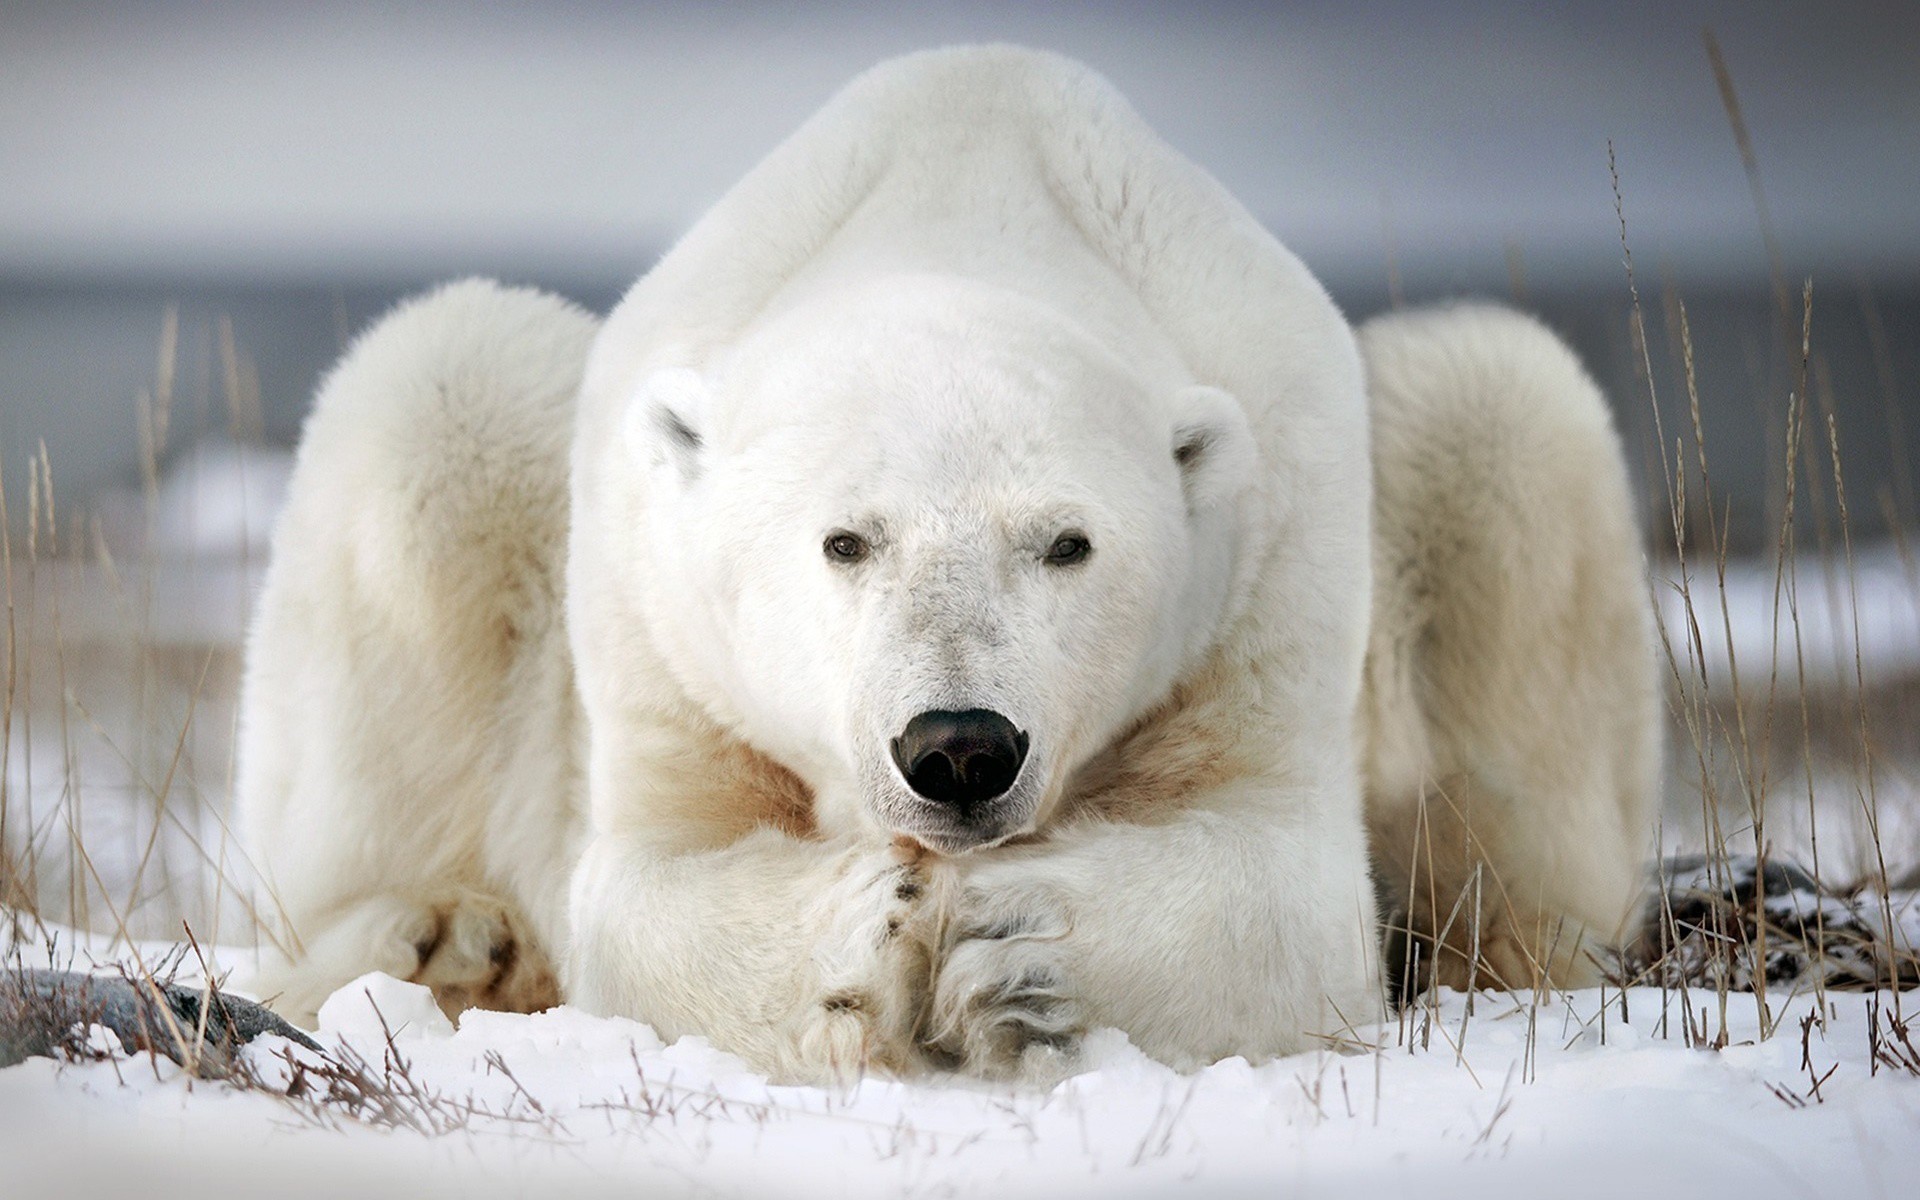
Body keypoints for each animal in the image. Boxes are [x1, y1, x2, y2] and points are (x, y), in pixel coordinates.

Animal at [236, 46, 1651, 1082]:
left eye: (1069, 543)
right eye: (844, 540)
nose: (959, 747)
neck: (965, 197)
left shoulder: (1271, 552)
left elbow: (1284, 878)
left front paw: (1015, 945)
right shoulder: (659, 620)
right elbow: (646, 881)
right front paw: (867, 935)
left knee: (1502, 415)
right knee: (435, 390)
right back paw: (441, 939)